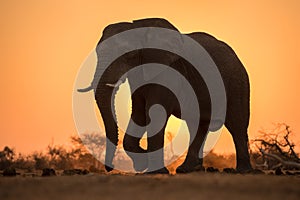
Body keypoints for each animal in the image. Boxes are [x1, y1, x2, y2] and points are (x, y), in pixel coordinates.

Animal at [78, 17, 253, 173]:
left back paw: (242, 171)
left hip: (236, 80)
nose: (110, 168)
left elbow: (155, 112)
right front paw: (142, 164)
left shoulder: (169, 72)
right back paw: (187, 169)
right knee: (197, 124)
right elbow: (139, 113)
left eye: (128, 55)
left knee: (237, 123)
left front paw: (155, 171)